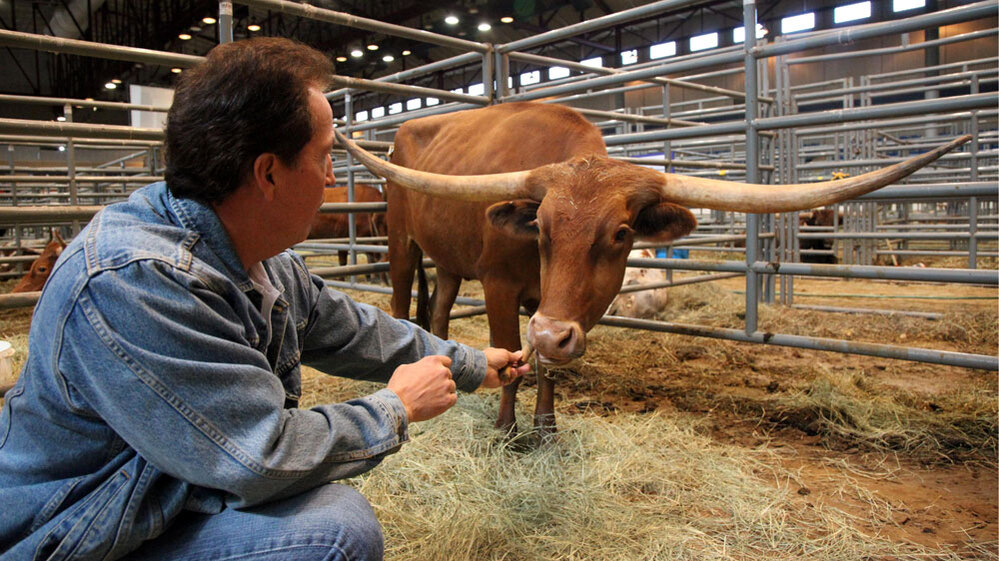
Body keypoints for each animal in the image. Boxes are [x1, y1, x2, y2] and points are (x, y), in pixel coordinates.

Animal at [334, 102, 969, 438]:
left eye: (620, 234)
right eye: (541, 227)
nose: (552, 332)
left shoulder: (550, 308)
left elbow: (547, 364)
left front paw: (546, 427)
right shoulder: (501, 286)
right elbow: (512, 358)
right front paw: (507, 429)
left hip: (447, 260)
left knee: (438, 309)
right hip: (400, 242)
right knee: (400, 303)